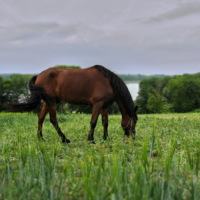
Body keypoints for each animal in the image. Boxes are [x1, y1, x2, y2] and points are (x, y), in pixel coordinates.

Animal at [5, 65, 138, 144]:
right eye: (135, 121)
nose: (133, 137)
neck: (108, 82)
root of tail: (39, 75)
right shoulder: (97, 104)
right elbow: (93, 122)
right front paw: (91, 140)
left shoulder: (105, 105)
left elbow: (105, 122)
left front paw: (106, 138)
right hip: (51, 101)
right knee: (53, 119)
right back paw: (64, 139)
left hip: (47, 102)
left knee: (40, 118)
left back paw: (41, 138)